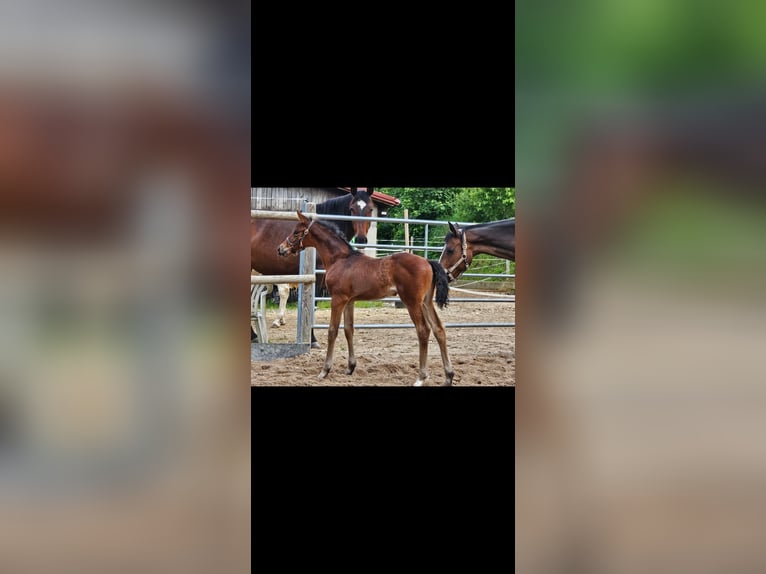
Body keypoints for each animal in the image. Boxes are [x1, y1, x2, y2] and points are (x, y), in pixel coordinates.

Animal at [278, 214, 452, 390]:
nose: (281, 249)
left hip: (412, 302)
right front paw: (350, 367)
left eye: (296, 232)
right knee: (439, 329)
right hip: (426, 302)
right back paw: (448, 376)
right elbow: (349, 330)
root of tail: (428, 262)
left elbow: (332, 331)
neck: (340, 259)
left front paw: (324, 371)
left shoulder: (338, 299)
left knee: (423, 330)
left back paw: (421, 377)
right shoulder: (349, 301)